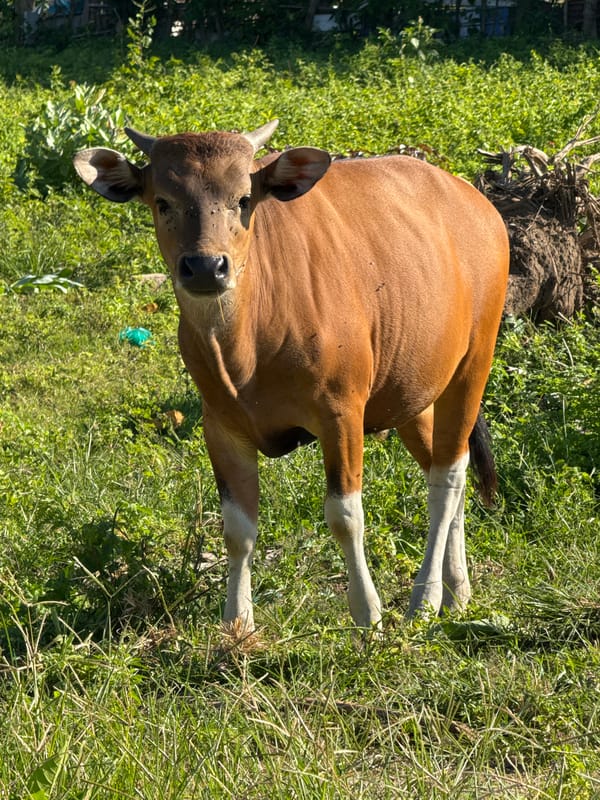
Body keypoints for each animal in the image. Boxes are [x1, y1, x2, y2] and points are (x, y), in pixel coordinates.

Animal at [74, 119, 509, 633]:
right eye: (162, 201)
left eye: (244, 198)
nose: (205, 266)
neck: (248, 345)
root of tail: (478, 205)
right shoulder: (221, 427)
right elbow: (237, 528)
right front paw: (237, 623)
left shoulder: (341, 414)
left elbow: (345, 515)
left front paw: (368, 615)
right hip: (412, 392)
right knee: (446, 468)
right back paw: (457, 591)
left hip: (473, 364)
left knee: (447, 478)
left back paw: (425, 599)